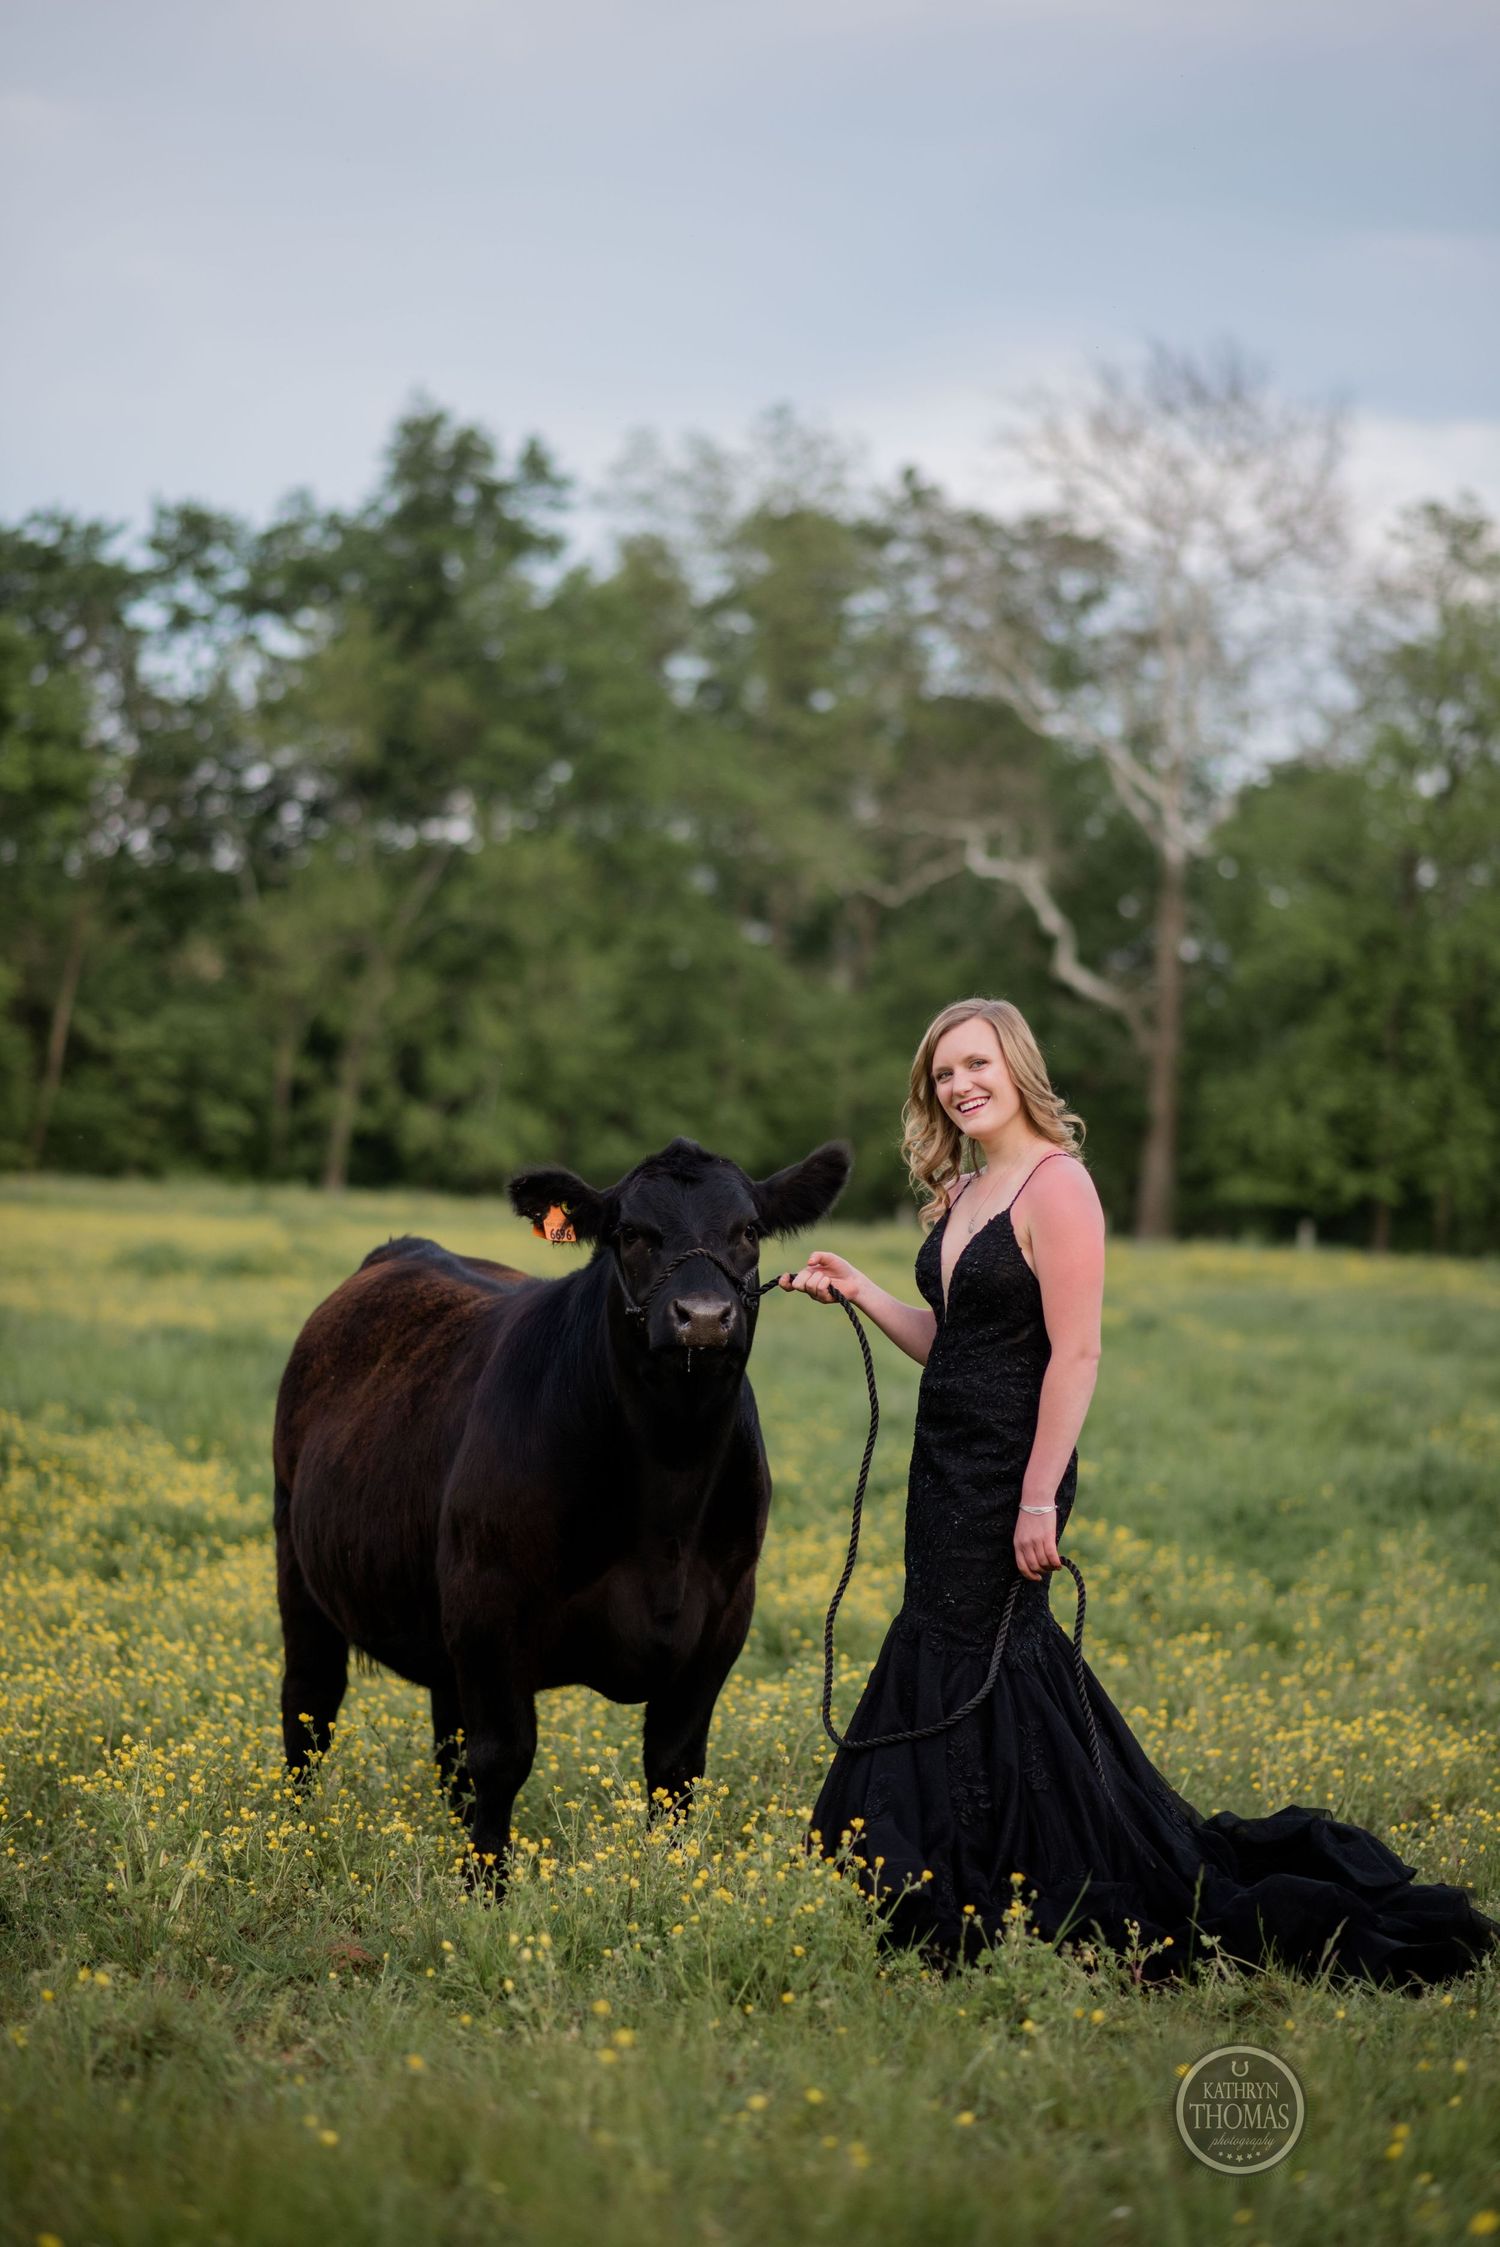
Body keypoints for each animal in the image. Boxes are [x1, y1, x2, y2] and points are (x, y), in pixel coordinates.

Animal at [272, 1133, 851, 1884]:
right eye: (630, 1233)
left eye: (749, 1230)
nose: (701, 1318)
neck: (670, 1480)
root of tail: (406, 1248)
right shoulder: (489, 1607)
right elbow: (502, 1758)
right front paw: (485, 1888)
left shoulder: (724, 1615)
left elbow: (675, 1767)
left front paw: (668, 1883)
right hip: (298, 1557)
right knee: (310, 1706)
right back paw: (295, 1837)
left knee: (445, 1740)